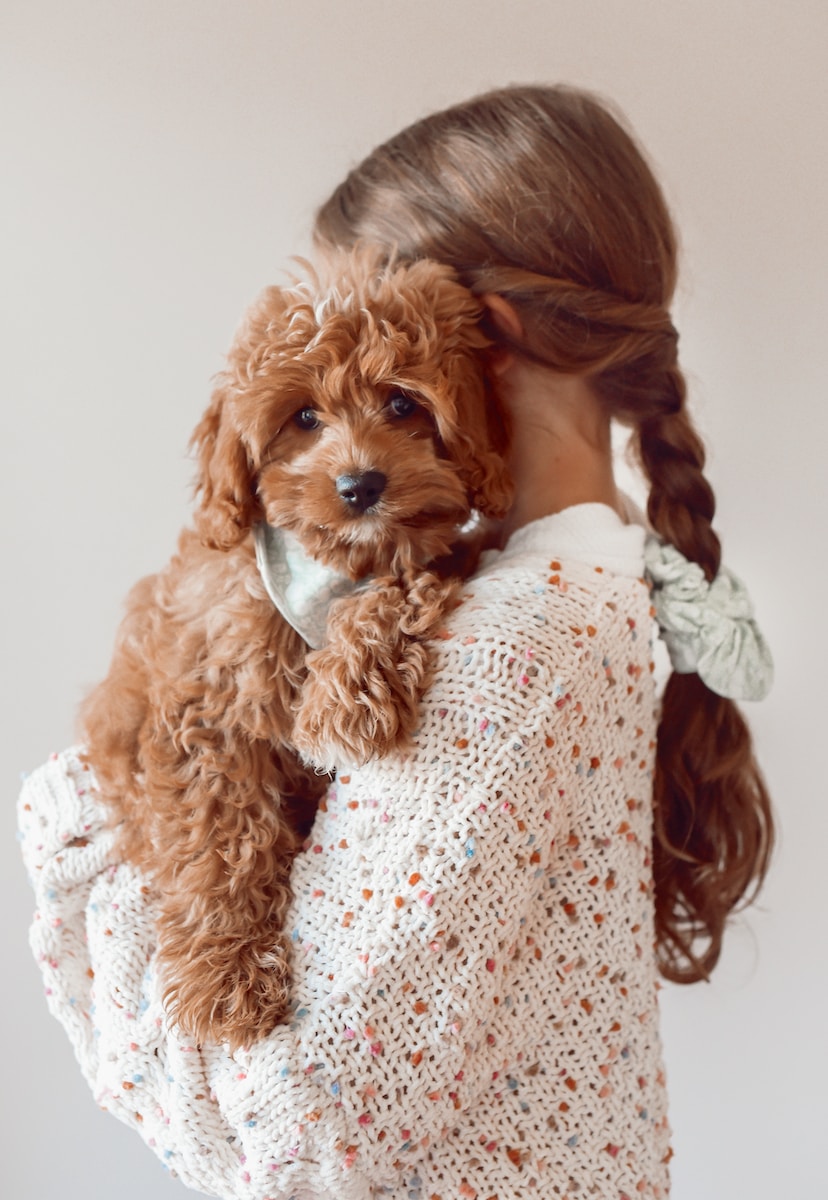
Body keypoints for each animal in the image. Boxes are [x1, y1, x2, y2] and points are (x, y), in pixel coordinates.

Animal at [82, 250, 508, 1051]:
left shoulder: (435, 556)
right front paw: (226, 981)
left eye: (402, 405)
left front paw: (345, 698)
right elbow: (216, 837)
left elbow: (403, 578)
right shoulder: (206, 703)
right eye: (303, 418)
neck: (324, 570)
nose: (360, 484)